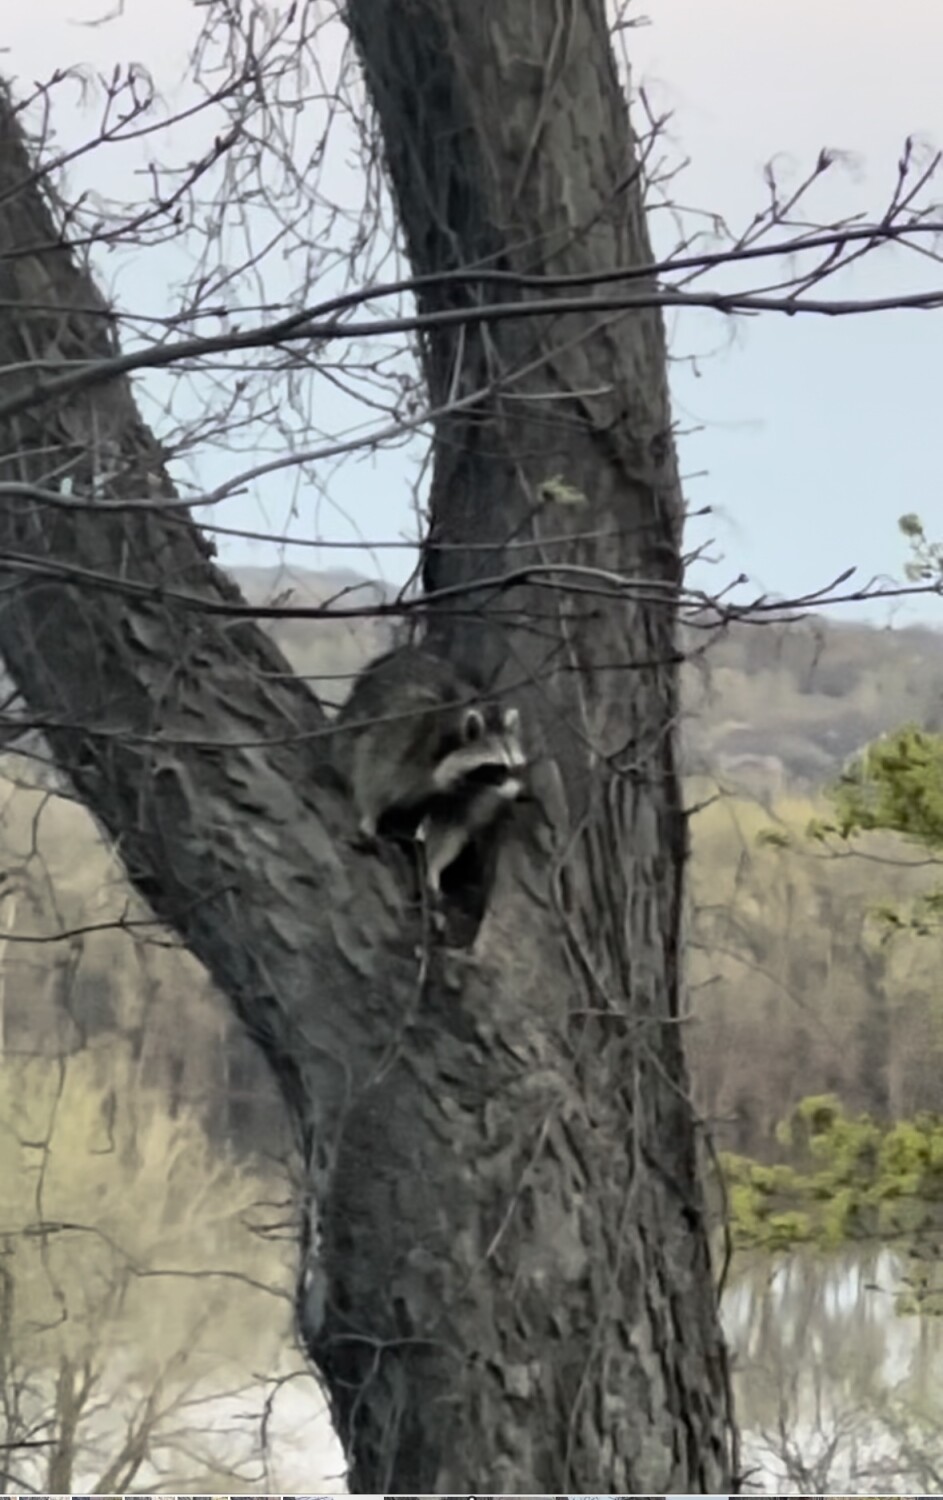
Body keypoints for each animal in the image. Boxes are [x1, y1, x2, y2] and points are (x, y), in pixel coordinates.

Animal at [333, 645, 526, 846]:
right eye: (496, 768)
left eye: (516, 767)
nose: (520, 794)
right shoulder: (408, 729)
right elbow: (373, 768)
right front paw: (370, 816)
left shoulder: (466, 792)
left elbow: (451, 823)